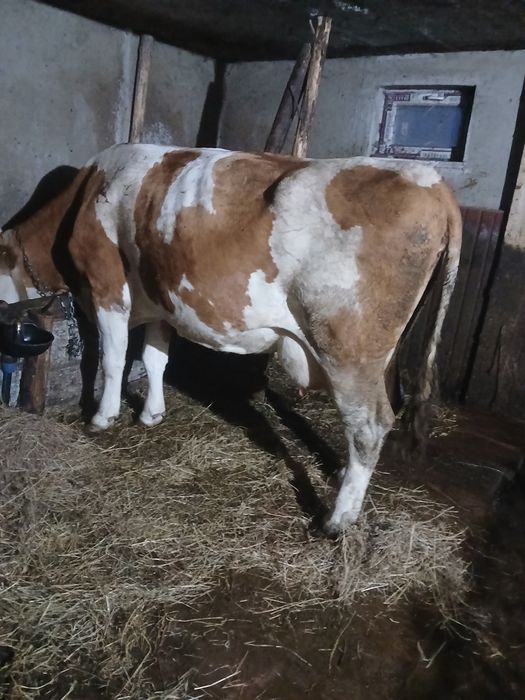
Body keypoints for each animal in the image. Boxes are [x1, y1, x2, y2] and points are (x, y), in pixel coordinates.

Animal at [0, 144, 461, 534]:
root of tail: (435, 183)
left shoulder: (106, 284)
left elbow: (113, 359)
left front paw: (101, 417)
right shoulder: (162, 297)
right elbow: (154, 359)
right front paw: (151, 414)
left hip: (348, 346)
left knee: (369, 424)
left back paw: (336, 520)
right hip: (385, 350)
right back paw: (341, 477)